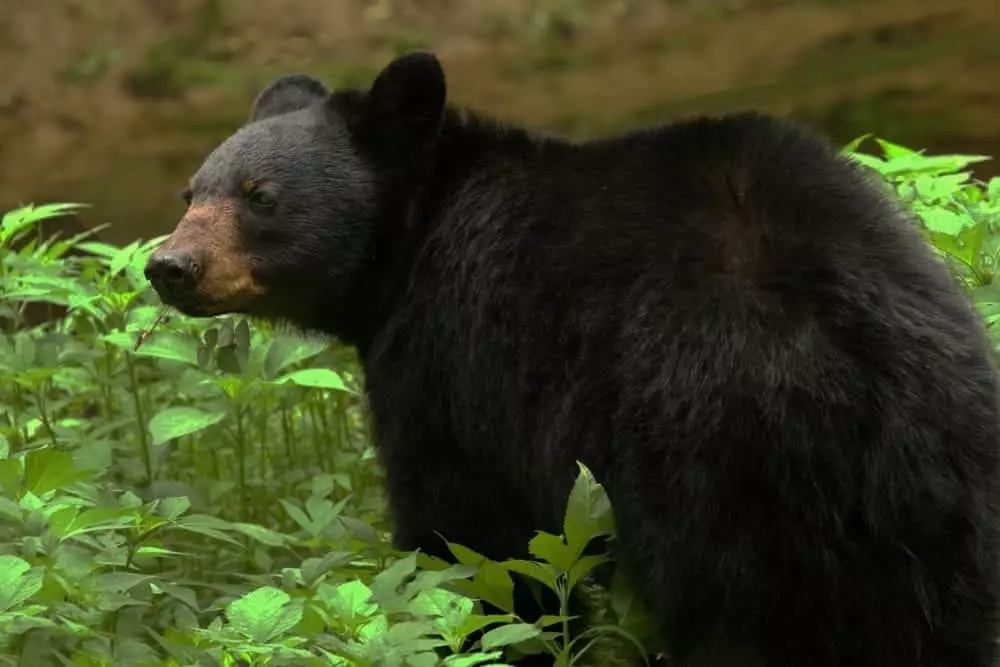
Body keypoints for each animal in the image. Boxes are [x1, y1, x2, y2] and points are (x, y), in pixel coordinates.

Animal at [144, 51, 1000, 667]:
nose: (168, 266)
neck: (414, 240)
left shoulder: (448, 362)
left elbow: (475, 546)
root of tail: (855, 359)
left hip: (710, 457)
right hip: (947, 478)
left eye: (260, 195)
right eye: (191, 193)